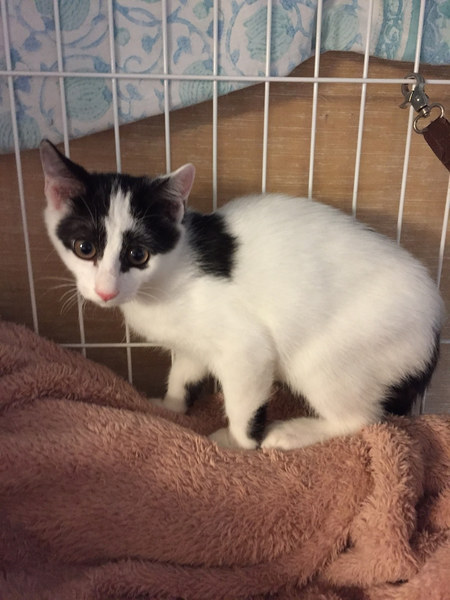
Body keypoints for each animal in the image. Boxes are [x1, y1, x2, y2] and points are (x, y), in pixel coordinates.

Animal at [39, 139, 444, 450]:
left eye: (138, 254)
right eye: (84, 248)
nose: (105, 290)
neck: (163, 281)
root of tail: (435, 322)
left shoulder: (245, 349)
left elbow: (242, 400)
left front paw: (239, 443)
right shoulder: (192, 344)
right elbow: (183, 371)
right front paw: (171, 406)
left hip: (332, 352)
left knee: (362, 418)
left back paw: (295, 432)